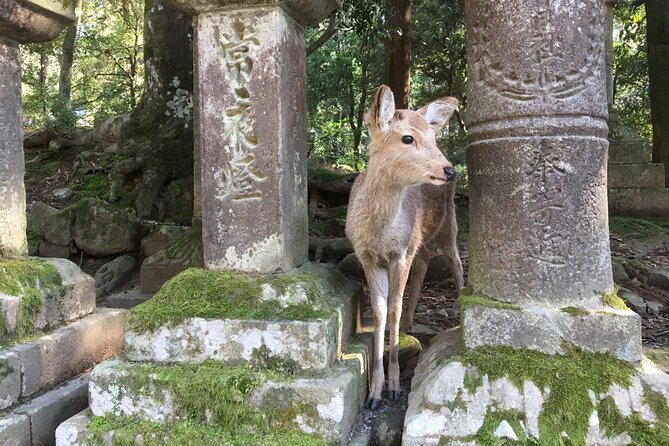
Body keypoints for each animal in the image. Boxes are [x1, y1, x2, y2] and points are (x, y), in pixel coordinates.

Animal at [344, 85, 464, 410]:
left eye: (433, 138)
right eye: (407, 138)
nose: (449, 170)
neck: (380, 235)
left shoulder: (400, 254)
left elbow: (393, 309)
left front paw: (395, 386)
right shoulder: (367, 257)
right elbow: (380, 312)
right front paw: (374, 392)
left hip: (448, 224)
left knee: (456, 261)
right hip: (419, 240)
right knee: (425, 259)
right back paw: (412, 323)